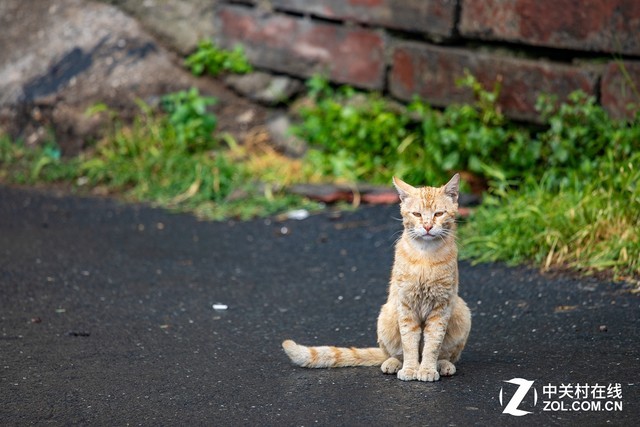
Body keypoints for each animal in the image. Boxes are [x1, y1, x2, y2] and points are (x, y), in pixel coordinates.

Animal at [282, 176, 472, 382]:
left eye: (438, 214)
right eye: (417, 214)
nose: (428, 226)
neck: (425, 256)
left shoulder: (440, 308)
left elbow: (432, 345)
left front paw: (427, 369)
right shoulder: (405, 306)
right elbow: (409, 343)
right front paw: (410, 369)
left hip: (461, 312)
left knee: (446, 354)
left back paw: (443, 365)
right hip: (387, 315)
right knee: (394, 353)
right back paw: (394, 364)